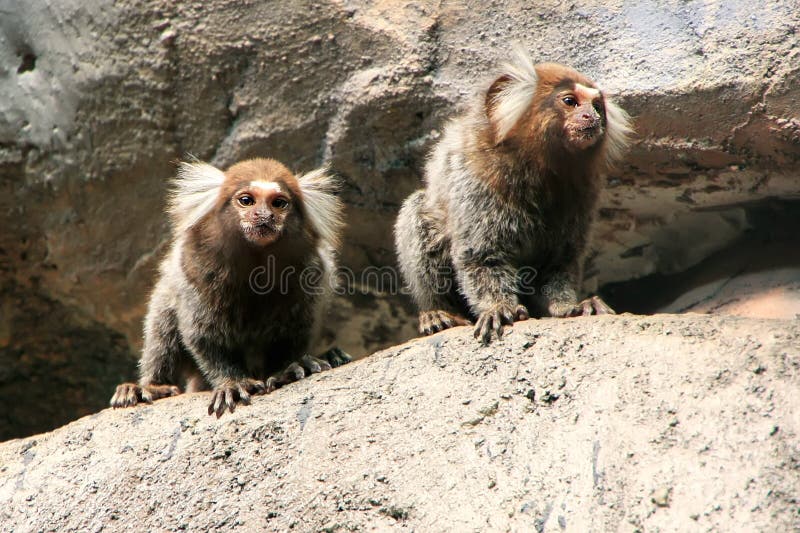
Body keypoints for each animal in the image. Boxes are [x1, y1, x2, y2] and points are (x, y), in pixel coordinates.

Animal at [109, 157, 346, 416]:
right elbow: (203, 337)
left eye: (278, 203)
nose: (265, 215)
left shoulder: (312, 273)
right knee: (162, 321)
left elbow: (296, 332)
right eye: (247, 200)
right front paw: (232, 383)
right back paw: (149, 386)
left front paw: (288, 368)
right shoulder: (194, 271)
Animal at [394, 48, 632, 340]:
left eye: (597, 107)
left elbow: (558, 263)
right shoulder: (476, 180)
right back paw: (439, 313)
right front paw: (498, 307)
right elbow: (481, 256)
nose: (592, 117)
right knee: (417, 209)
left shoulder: (584, 196)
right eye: (570, 101)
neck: (538, 170)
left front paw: (569, 307)